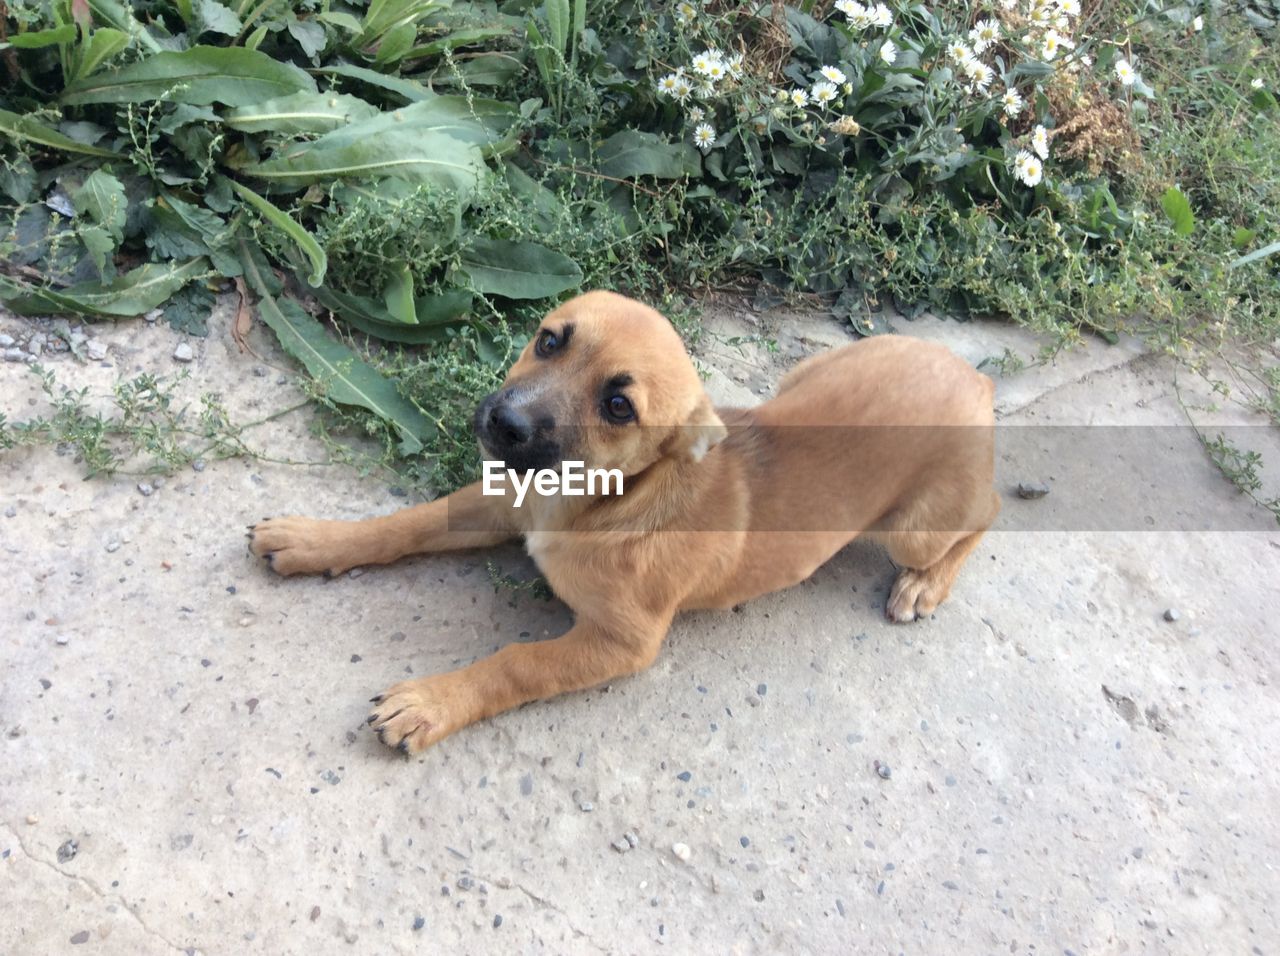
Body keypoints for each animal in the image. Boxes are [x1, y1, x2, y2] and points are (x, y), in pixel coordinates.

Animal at [244, 291, 993, 757]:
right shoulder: (503, 496)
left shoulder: (623, 643)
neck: (596, 503)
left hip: (913, 528)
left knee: (985, 516)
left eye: (618, 406)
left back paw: (925, 586)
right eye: (549, 340)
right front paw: (316, 539)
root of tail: (972, 375)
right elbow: (409, 522)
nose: (503, 423)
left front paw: (432, 702)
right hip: (803, 376)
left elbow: (517, 663)